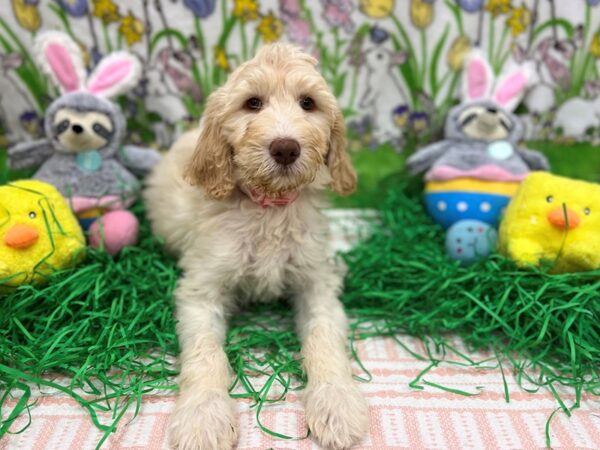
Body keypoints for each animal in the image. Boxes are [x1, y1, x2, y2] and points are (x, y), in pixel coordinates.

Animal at [146, 43, 370, 450]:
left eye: (308, 103)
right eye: (252, 103)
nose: (285, 148)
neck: (270, 207)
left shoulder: (316, 282)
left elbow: (324, 338)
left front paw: (336, 403)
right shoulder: (201, 288)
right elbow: (206, 353)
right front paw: (203, 417)